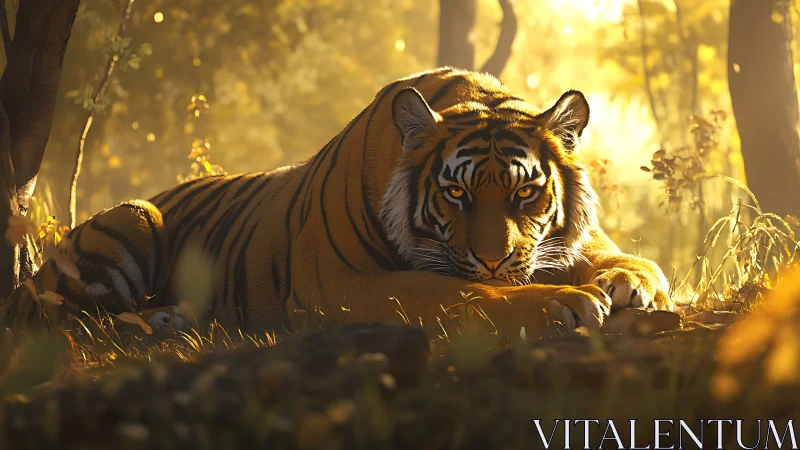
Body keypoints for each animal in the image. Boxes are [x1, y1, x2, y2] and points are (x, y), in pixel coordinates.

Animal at [2, 67, 673, 339]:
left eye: (525, 192)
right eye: (455, 193)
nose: (494, 260)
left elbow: (637, 260)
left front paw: (631, 286)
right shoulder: (340, 282)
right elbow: (454, 292)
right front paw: (565, 302)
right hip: (134, 217)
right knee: (65, 318)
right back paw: (155, 322)